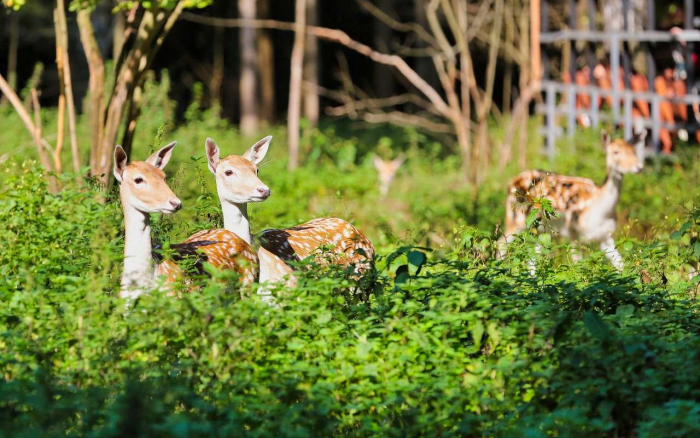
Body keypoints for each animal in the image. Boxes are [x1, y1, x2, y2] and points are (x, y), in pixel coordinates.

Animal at [504, 129, 644, 270]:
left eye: (634, 151)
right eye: (616, 151)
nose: (639, 166)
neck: (600, 209)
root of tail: (511, 182)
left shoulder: (606, 235)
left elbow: (621, 265)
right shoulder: (573, 231)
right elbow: (578, 264)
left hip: (540, 231)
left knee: (532, 258)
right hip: (514, 218)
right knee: (502, 245)